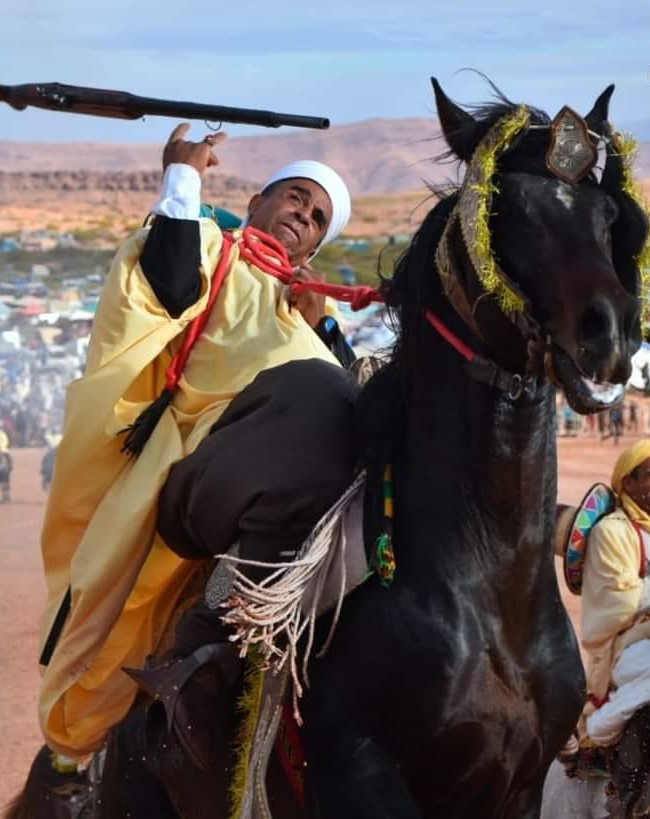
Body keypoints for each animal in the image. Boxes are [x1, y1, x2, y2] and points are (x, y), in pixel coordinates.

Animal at [7, 81, 644, 819]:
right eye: (504, 207)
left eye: (609, 216)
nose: (611, 333)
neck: (490, 592)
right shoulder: (357, 772)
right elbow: (174, 282)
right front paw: (186, 163)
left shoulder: (518, 785)